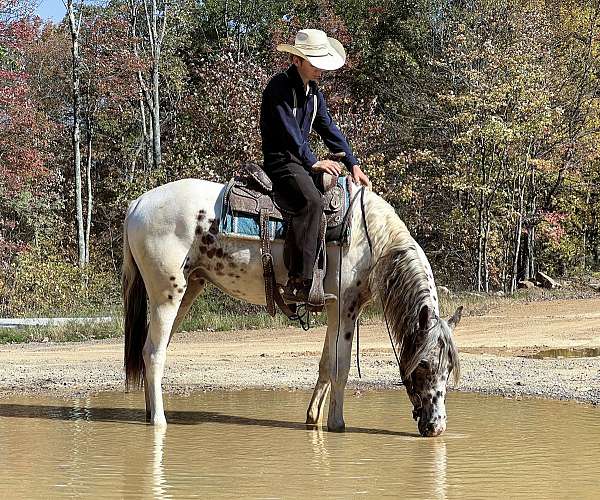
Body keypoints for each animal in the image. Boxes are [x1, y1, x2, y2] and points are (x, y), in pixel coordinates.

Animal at [120, 178, 460, 436]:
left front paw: (314, 419)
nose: (437, 427)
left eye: (449, 368)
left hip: (187, 289)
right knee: (154, 354)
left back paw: (149, 413)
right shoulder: (345, 308)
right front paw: (338, 425)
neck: (370, 239)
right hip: (167, 295)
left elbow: (325, 364)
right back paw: (159, 422)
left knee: (152, 351)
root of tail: (137, 204)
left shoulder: (339, 311)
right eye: (425, 364)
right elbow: (340, 368)